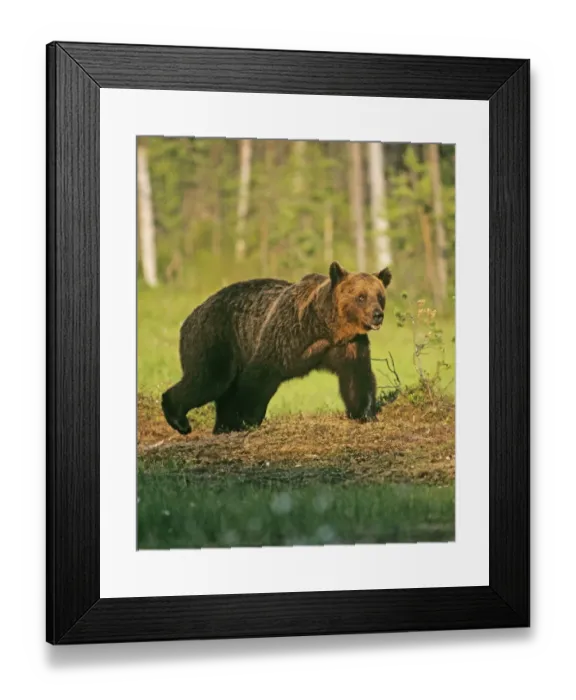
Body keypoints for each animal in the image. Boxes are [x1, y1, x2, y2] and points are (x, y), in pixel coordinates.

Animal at [161, 261, 392, 435]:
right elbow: (258, 376)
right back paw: (180, 419)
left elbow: (357, 377)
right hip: (216, 337)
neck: (326, 327)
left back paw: (220, 426)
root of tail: (190, 316)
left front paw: (365, 413)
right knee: (209, 379)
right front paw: (244, 418)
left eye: (379, 296)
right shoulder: (286, 334)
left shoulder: (349, 345)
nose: (377, 315)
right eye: (361, 296)